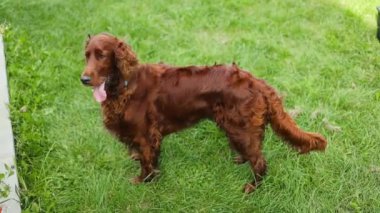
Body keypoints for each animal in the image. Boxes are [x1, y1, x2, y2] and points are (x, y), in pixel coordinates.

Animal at [80, 32, 326, 193]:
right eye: (87, 55)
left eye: (102, 55)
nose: (83, 79)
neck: (124, 85)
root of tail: (256, 82)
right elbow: (142, 156)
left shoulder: (146, 135)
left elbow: (147, 163)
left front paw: (143, 181)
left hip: (241, 127)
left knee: (260, 162)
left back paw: (251, 187)